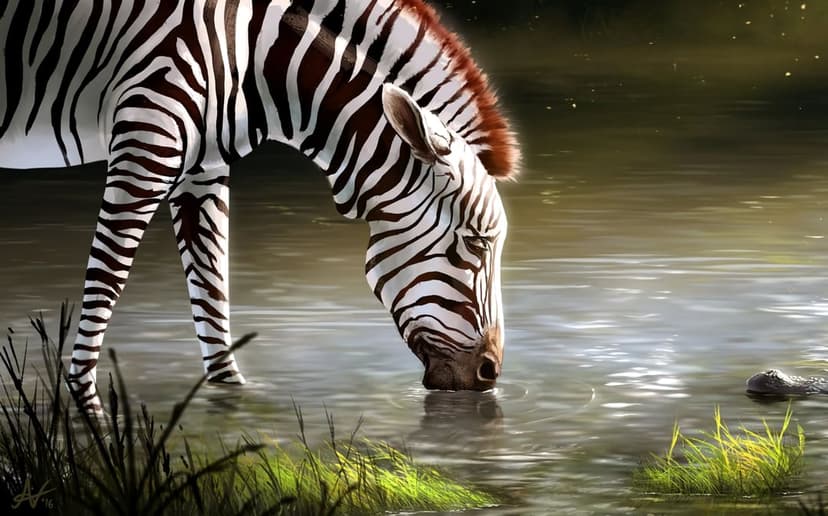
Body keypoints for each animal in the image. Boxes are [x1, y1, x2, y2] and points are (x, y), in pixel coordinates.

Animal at [0, 0, 520, 411]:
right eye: (475, 245)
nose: (490, 376)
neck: (255, 57)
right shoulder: (148, 137)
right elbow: (108, 276)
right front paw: (87, 409)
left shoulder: (203, 165)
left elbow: (211, 287)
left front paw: (233, 403)